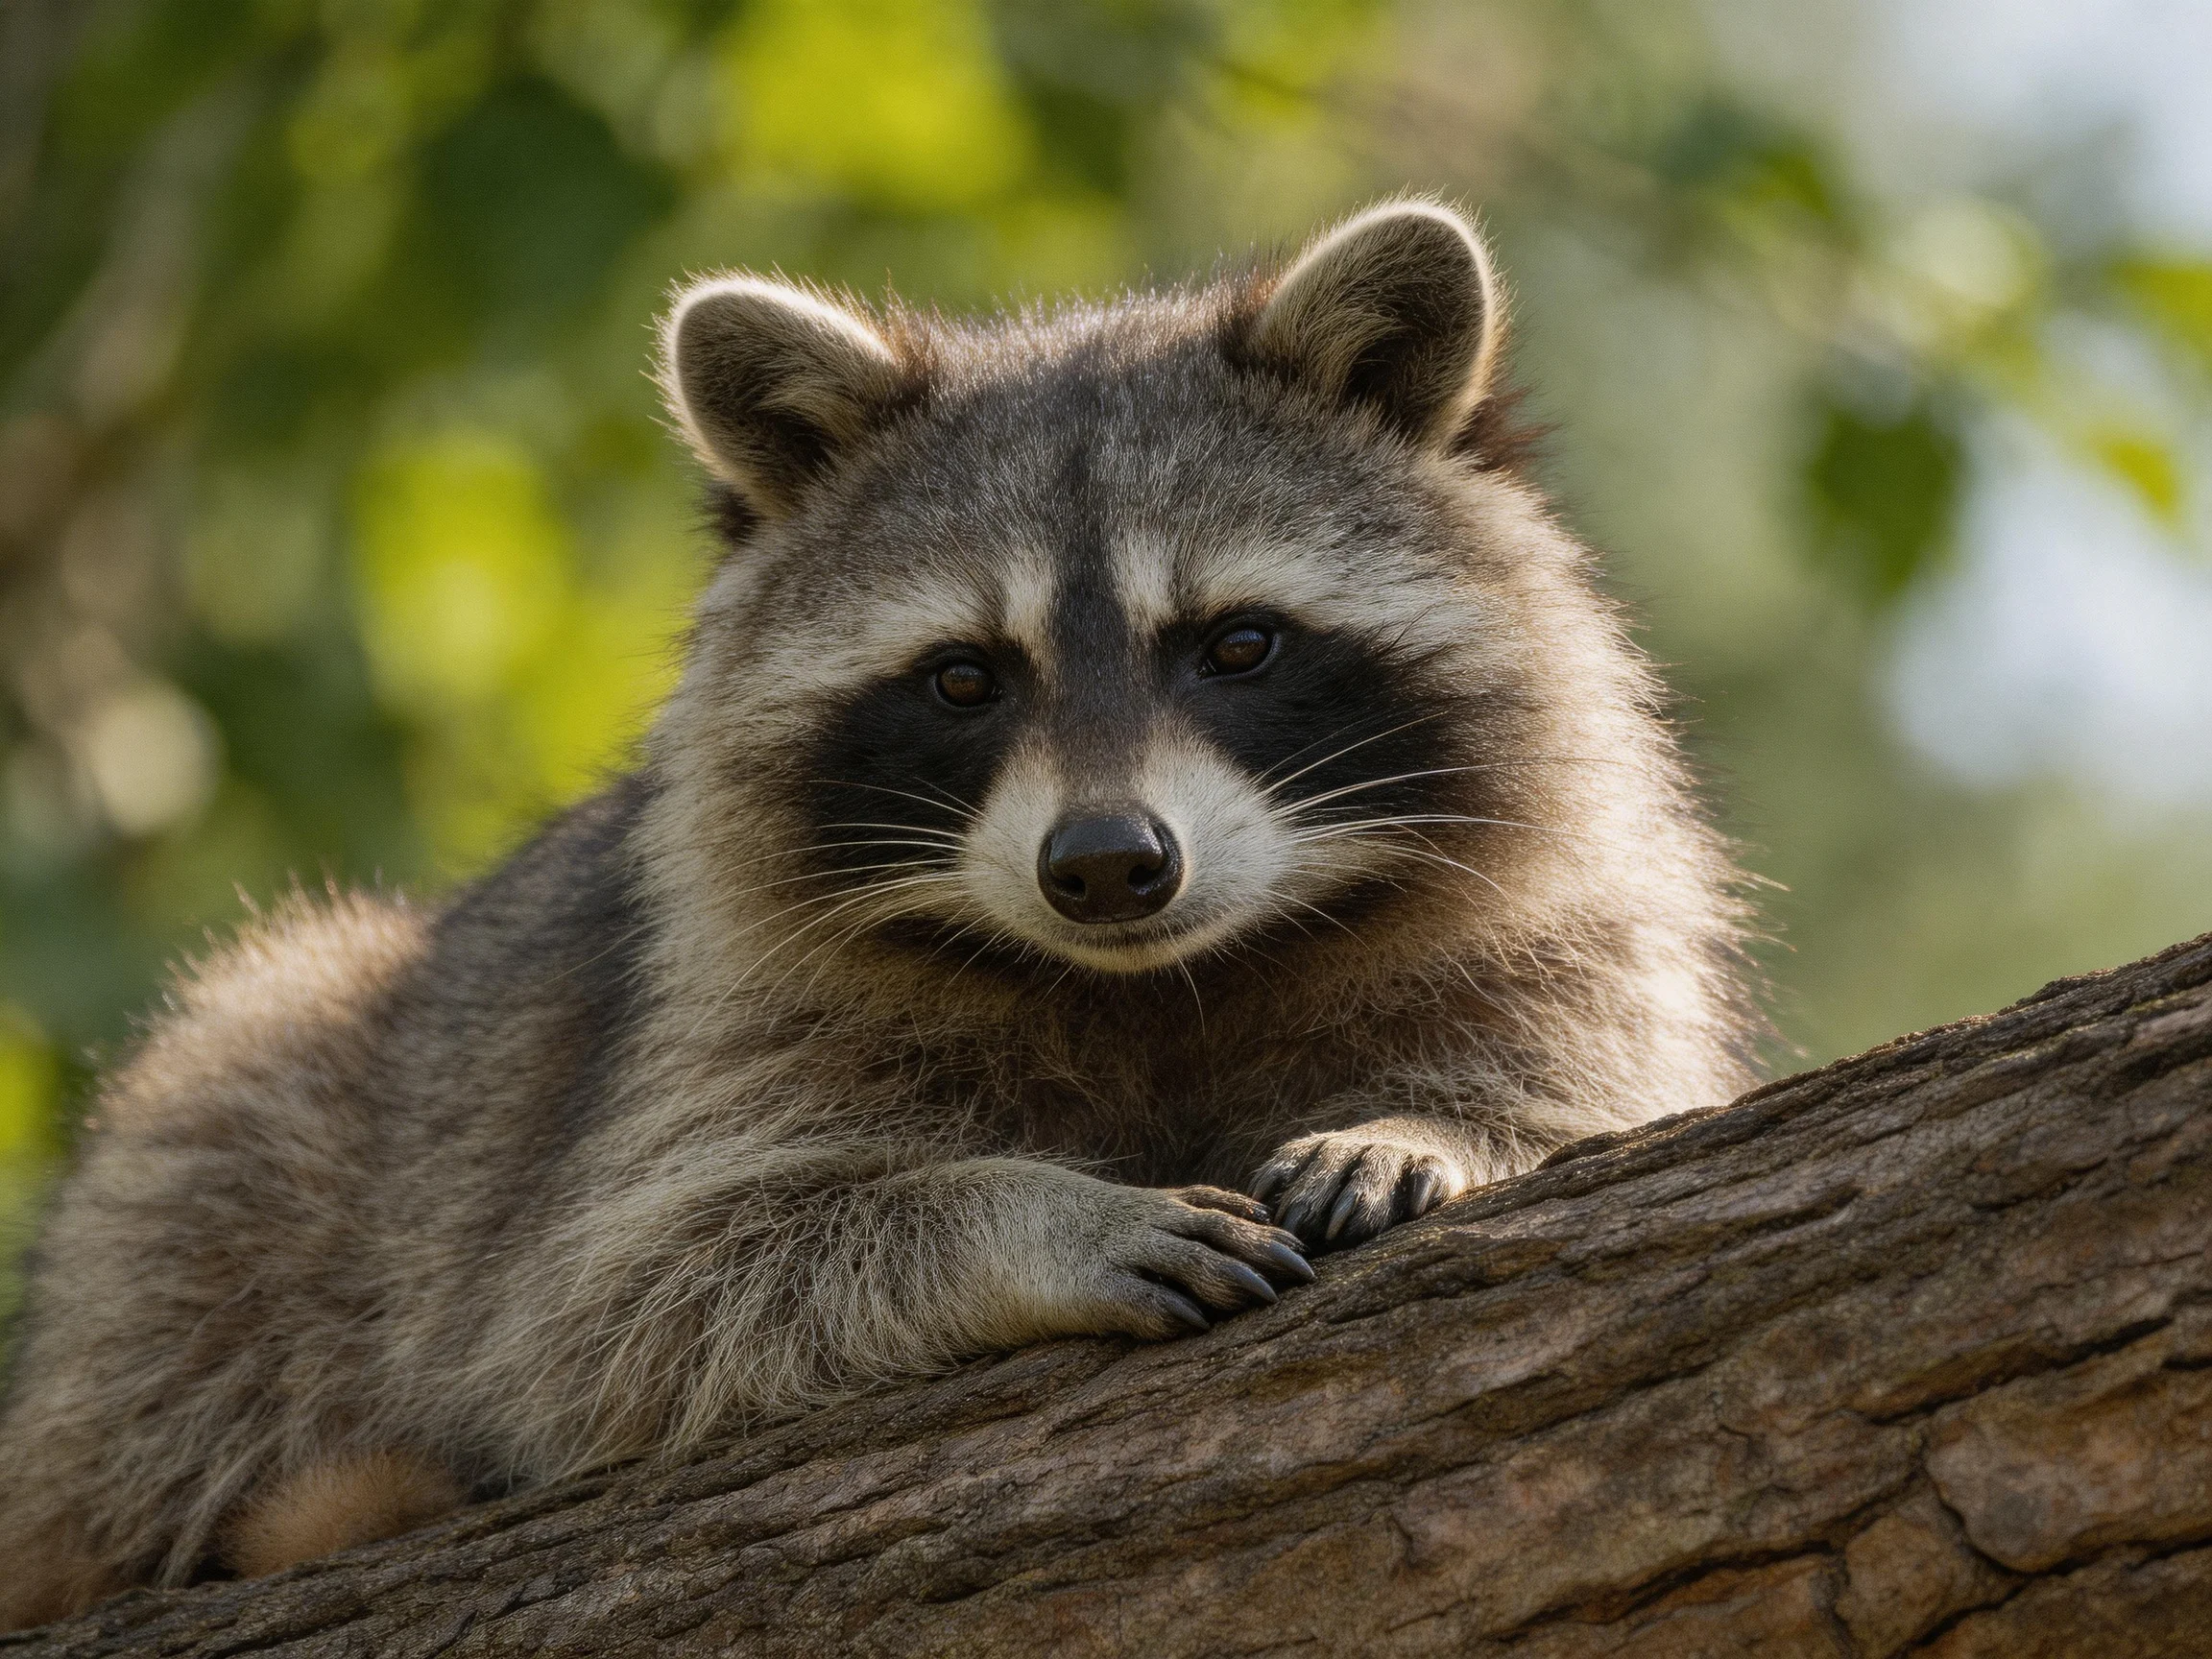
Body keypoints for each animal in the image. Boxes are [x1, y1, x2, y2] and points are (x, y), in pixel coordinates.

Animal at [0, 200, 1760, 1627]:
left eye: (1238, 644)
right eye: (964, 679)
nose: (1105, 864)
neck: (1157, 976)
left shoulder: (1561, 939)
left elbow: (1605, 1090)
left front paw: (1435, 1126)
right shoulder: (696, 1037)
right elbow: (625, 1307)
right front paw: (1022, 1219)